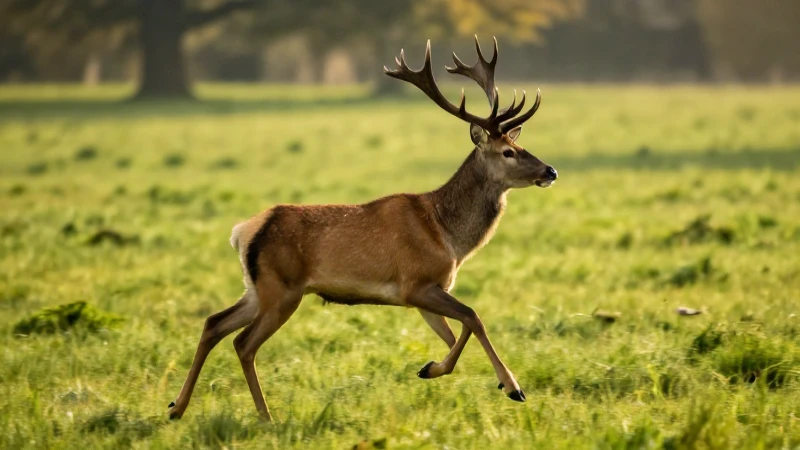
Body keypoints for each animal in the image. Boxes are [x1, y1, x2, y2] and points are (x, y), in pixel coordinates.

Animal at [167, 36, 557, 421]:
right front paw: (512, 386)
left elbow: (455, 335)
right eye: (508, 152)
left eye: (521, 144)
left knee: (214, 323)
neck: (447, 236)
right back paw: (264, 416)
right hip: (282, 289)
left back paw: (177, 407)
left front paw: (433, 368)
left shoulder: (429, 292)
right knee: (243, 342)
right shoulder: (415, 284)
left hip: (257, 288)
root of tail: (244, 231)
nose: (550, 170)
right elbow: (473, 317)